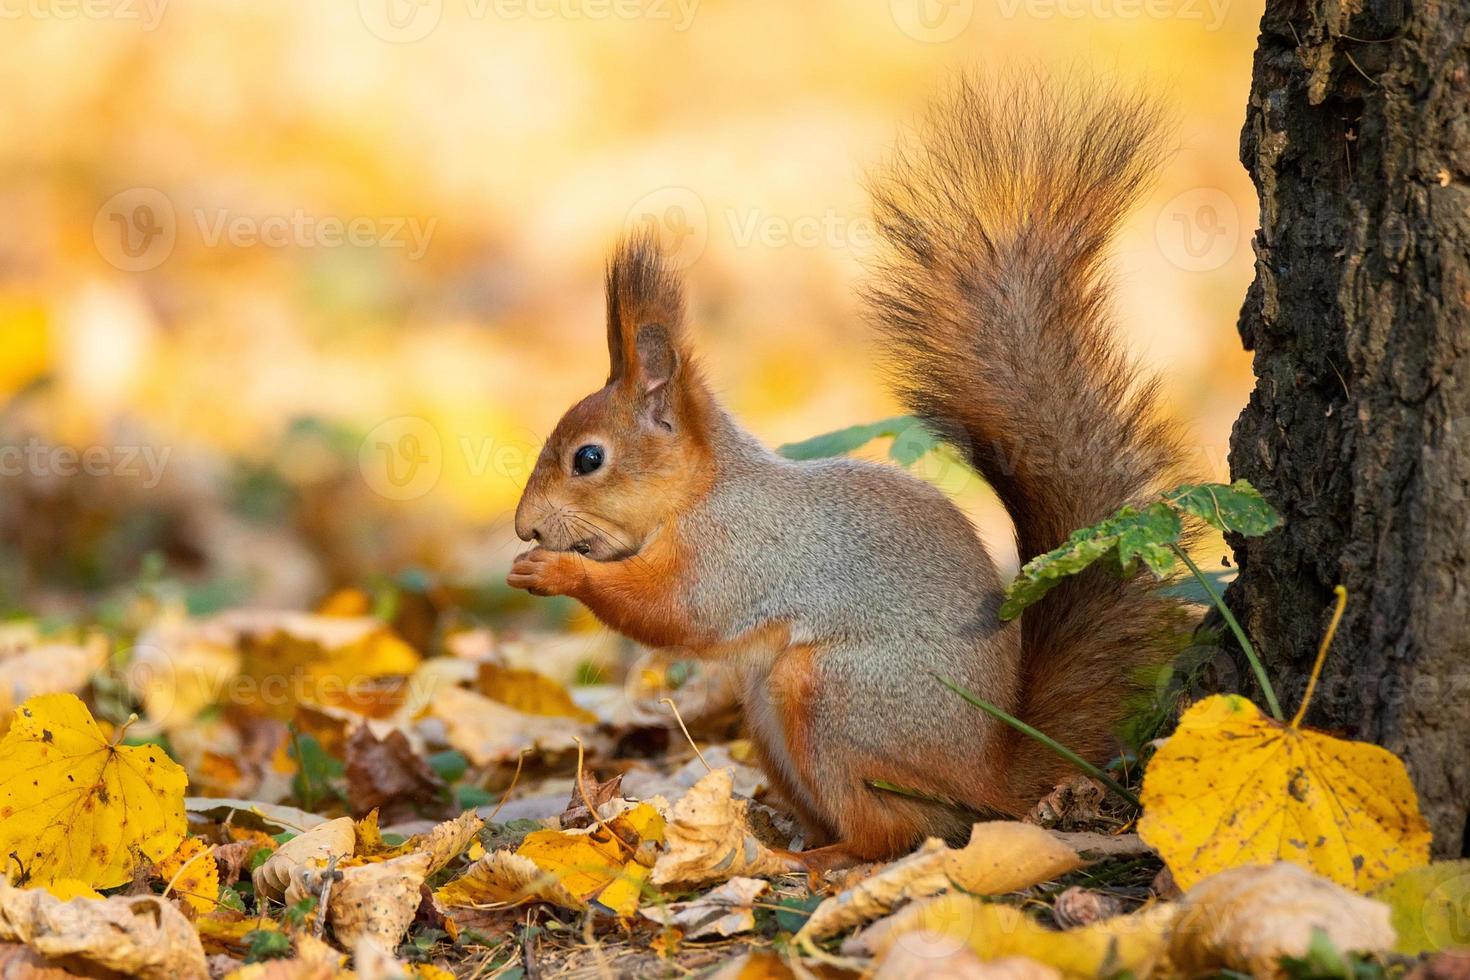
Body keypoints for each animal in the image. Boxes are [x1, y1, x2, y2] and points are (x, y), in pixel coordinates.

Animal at [511, 78, 1187, 875]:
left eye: (588, 459)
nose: (524, 525)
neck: (707, 490)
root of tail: (988, 774)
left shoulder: (736, 551)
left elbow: (674, 612)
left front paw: (555, 571)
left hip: (831, 696)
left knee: (888, 836)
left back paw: (812, 860)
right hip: (770, 711)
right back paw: (789, 836)